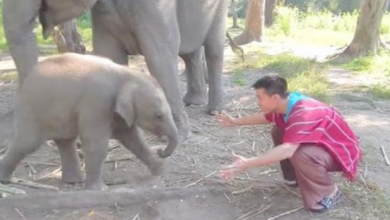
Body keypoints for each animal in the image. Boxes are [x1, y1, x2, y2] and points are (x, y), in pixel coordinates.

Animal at [0, 52, 178, 190]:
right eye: (158, 116)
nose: (161, 149)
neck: (125, 74)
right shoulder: (97, 101)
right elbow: (96, 141)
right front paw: (100, 189)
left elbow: (130, 137)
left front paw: (162, 171)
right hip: (32, 109)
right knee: (27, 143)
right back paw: (5, 180)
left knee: (66, 141)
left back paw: (74, 181)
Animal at [2, 0, 229, 140]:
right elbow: (109, 54)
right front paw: (115, 132)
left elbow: (159, 54)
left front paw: (177, 137)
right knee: (190, 52)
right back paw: (193, 101)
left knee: (213, 48)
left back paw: (215, 110)